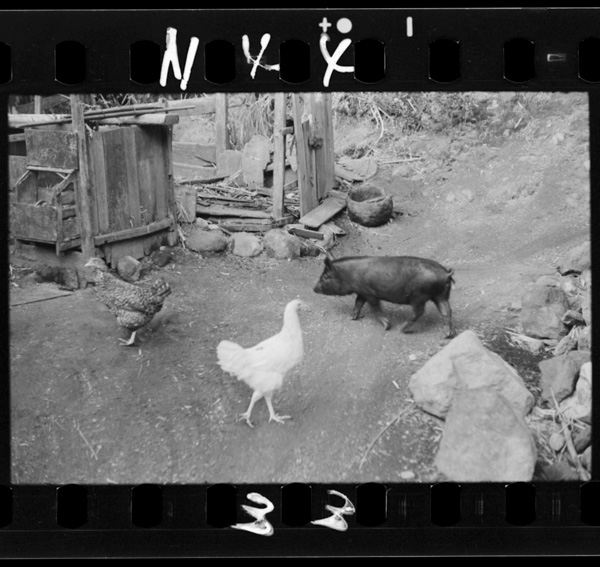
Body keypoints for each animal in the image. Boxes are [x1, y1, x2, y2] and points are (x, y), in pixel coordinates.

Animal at [313, 252, 456, 338]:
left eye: (325, 277)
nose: (314, 288)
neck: (349, 274)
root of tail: (446, 274)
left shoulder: (369, 293)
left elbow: (375, 308)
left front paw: (387, 326)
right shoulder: (362, 292)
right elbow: (358, 303)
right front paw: (352, 318)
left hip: (418, 296)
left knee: (419, 312)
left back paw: (402, 329)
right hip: (441, 295)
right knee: (447, 311)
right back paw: (447, 335)